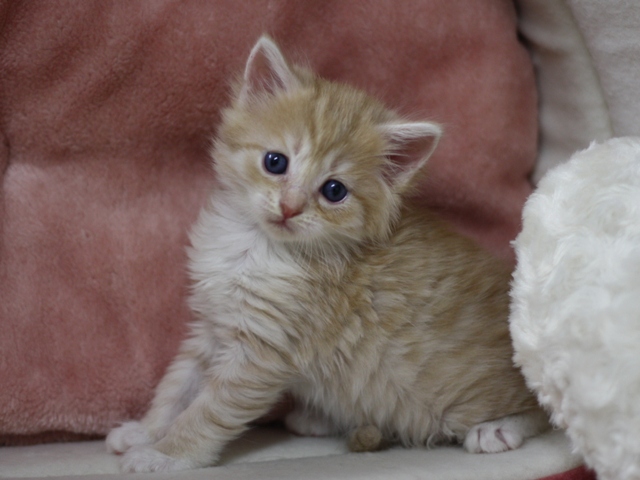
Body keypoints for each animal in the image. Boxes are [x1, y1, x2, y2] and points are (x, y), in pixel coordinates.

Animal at [107, 34, 548, 472]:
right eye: (275, 162)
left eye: (334, 190)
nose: (290, 207)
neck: (256, 248)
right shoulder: (213, 328)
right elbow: (177, 385)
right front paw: (146, 431)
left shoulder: (261, 352)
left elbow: (207, 410)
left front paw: (165, 453)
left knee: (542, 408)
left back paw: (498, 428)